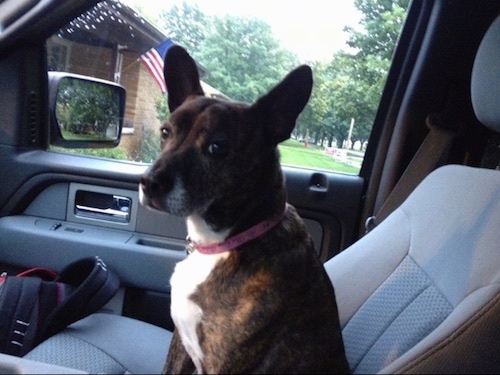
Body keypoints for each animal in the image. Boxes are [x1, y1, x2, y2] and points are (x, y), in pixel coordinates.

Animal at [137, 45, 350, 374]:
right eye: (165, 132)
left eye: (217, 147)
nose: (148, 183)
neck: (225, 241)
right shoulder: (181, 345)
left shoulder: (225, 364)